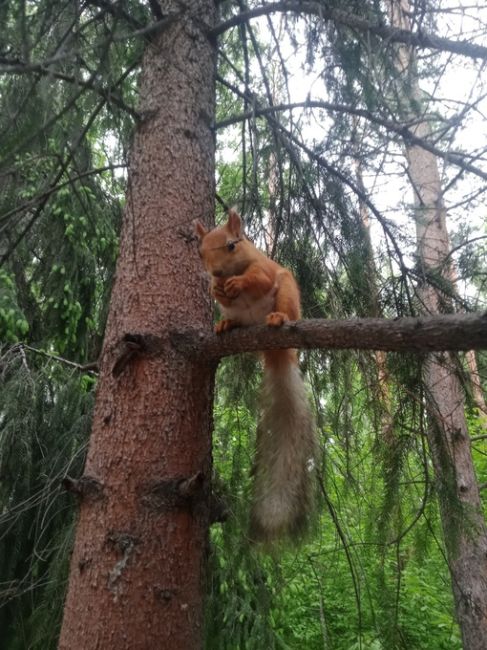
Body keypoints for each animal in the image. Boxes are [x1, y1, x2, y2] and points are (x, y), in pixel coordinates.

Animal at [195, 206, 320, 540]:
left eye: (231, 245)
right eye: (200, 253)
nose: (215, 274)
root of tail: (276, 352)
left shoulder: (263, 267)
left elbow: (258, 279)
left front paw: (238, 284)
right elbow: (217, 294)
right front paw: (216, 288)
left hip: (287, 292)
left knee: (282, 306)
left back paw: (277, 318)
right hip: (241, 316)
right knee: (235, 318)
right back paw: (226, 324)